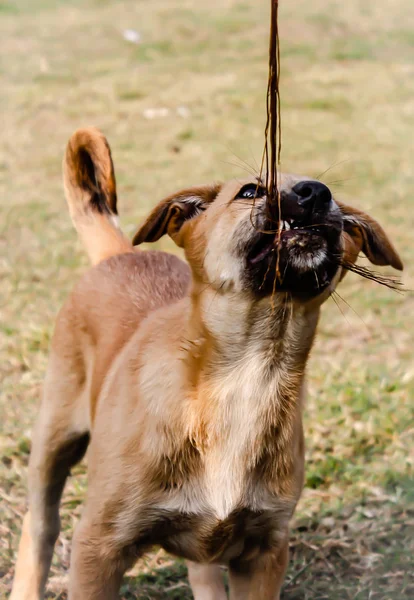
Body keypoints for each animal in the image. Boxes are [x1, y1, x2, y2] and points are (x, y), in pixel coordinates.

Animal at [11, 129, 402, 596]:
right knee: (40, 525)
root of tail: (118, 254)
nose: (316, 193)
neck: (248, 374)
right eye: (250, 191)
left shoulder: (266, 553)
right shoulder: (98, 548)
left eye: (338, 209)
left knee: (202, 570)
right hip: (53, 440)